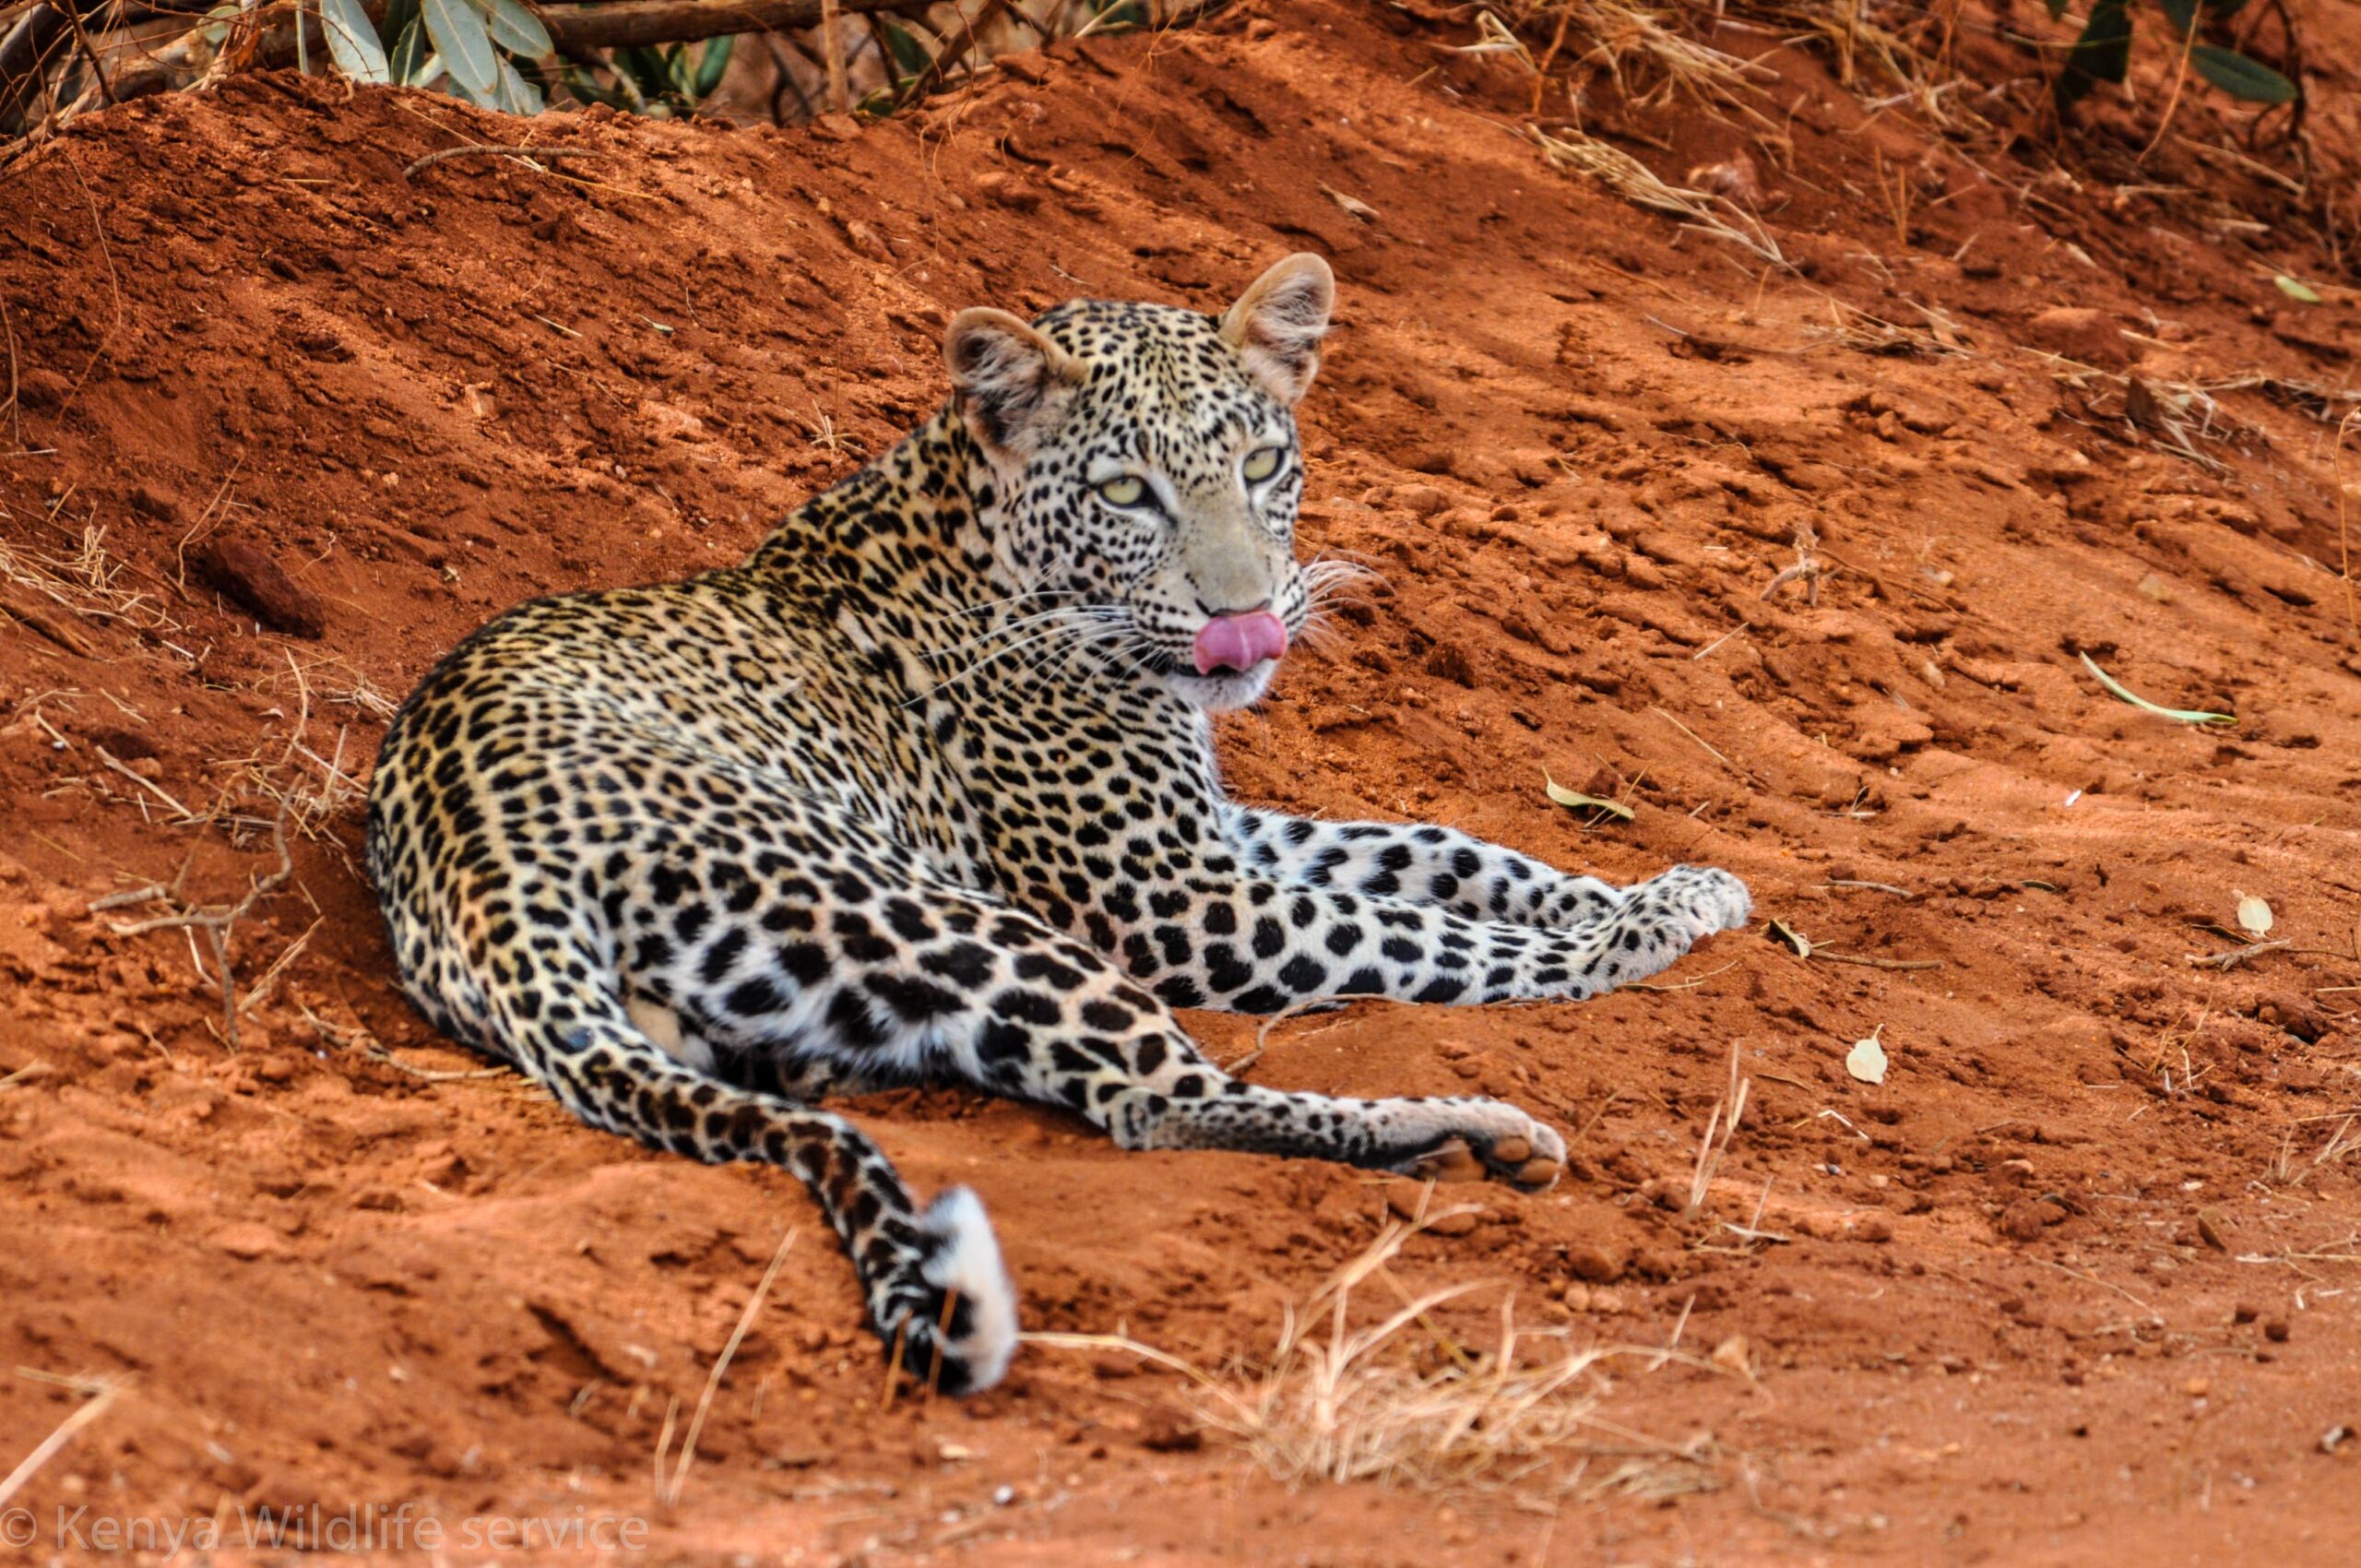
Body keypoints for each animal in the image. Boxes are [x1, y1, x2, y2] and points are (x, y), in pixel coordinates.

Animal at [359, 257, 1747, 1397]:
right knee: (1160, 1101)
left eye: (1260, 467)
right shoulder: (1175, 899)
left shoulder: (1212, 835)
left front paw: (1665, 885)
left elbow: (1437, 851)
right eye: (1128, 492)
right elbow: (1421, 933)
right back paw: (1469, 1134)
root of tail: (475, 861)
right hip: (932, 908)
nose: (1248, 617)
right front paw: (1642, 930)